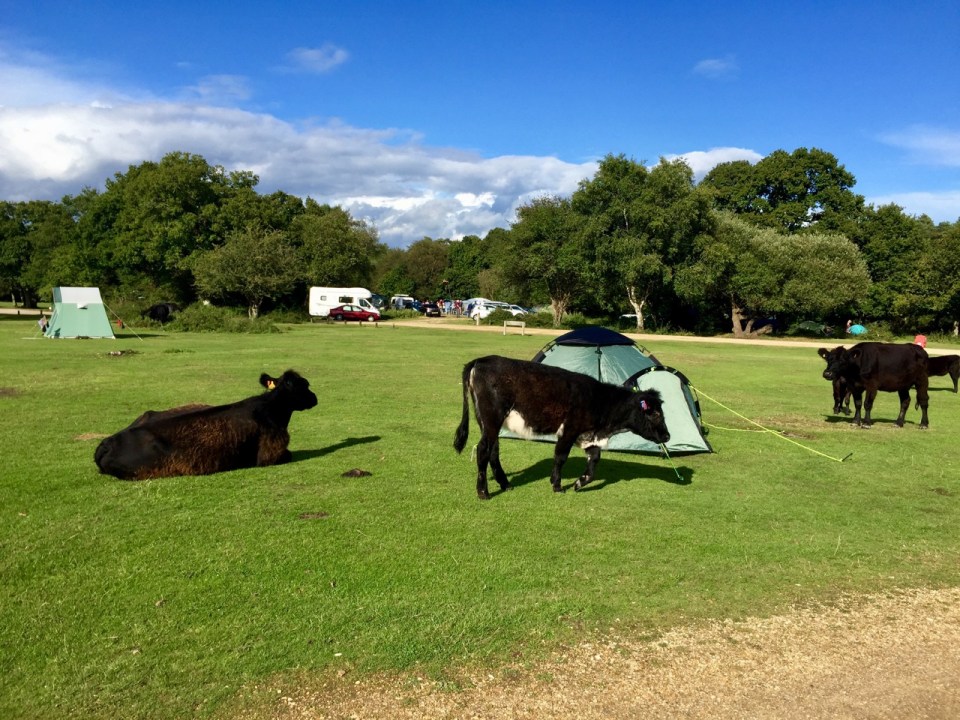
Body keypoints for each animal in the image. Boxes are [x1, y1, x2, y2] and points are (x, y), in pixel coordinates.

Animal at [453, 355, 670, 499]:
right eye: (656, 414)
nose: (667, 436)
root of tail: (481, 360)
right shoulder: (569, 430)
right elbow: (560, 457)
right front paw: (557, 485)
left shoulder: (588, 435)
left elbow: (594, 461)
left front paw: (579, 483)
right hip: (492, 419)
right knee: (483, 450)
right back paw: (483, 492)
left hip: (488, 423)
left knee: (493, 451)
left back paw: (505, 484)